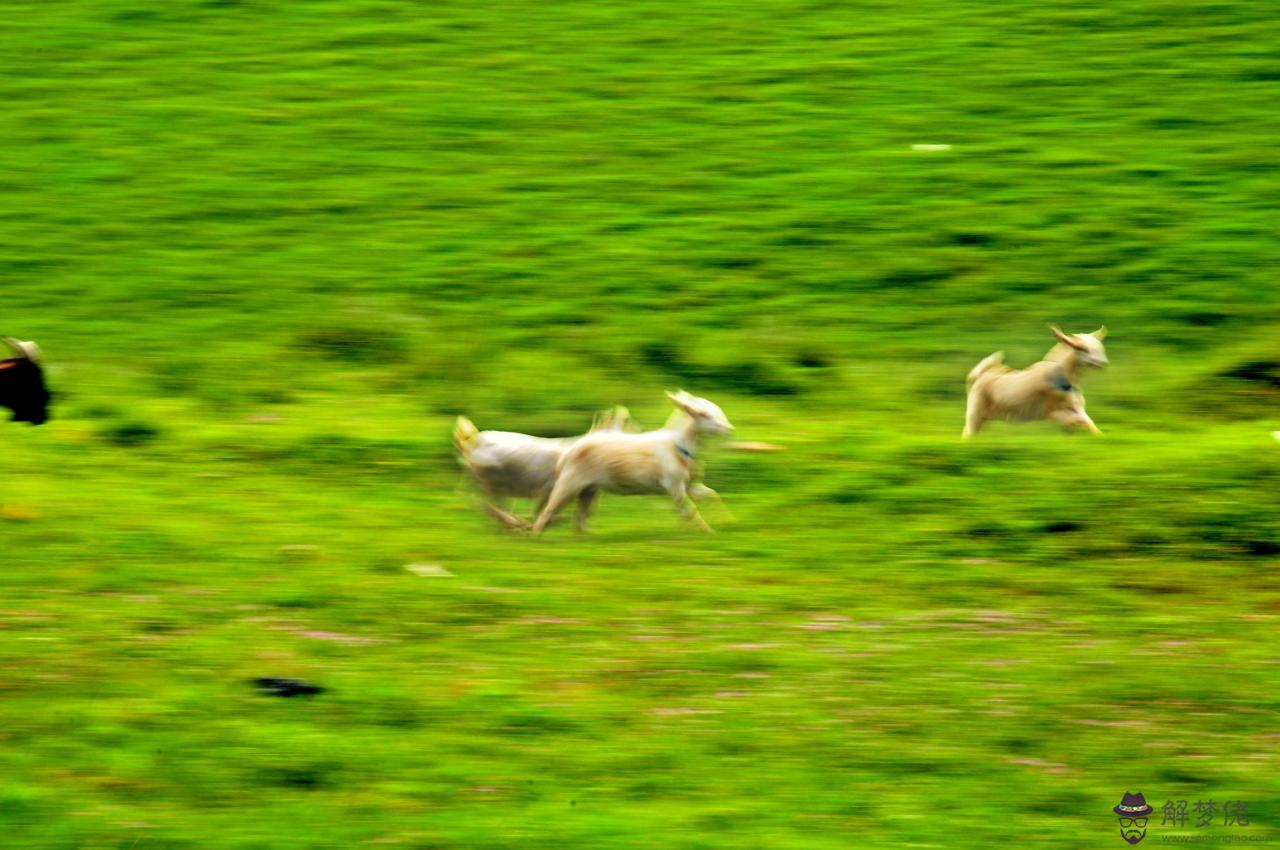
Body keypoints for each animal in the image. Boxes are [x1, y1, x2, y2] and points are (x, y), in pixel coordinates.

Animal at [458, 407, 632, 532]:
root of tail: (471, 443)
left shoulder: (583, 492)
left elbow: (584, 512)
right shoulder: (549, 489)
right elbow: (545, 509)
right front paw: (536, 527)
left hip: (494, 486)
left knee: (485, 503)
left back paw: (513, 524)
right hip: (492, 483)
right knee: (483, 503)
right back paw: (515, 524)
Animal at [527, 389, 732, 535]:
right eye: (703, 414)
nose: (729, 429)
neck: (678, 446)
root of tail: (571, 448)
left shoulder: (689, 485)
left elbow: (711, 496)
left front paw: (726, 520)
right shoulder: (673, 484)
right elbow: (690, 509)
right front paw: (707, 531)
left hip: (589, 490)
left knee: (580, 515)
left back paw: (585, 536)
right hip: (569, 483)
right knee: (549, 509)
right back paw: (536, 536)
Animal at [962, 326, 1105, 437]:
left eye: (1098, 348)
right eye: (1082, 348)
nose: (1102, 363)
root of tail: (978, 375)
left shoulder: (1075, 408)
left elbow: (1086, 422)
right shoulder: (1053, 412)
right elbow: (1081, 420)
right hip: (975, 412)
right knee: (968, 432)